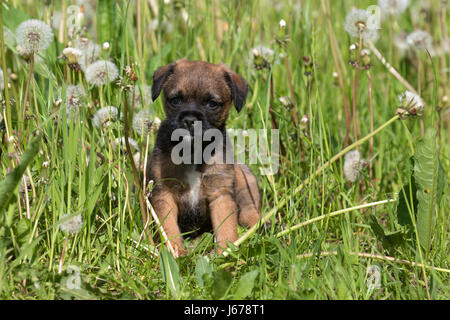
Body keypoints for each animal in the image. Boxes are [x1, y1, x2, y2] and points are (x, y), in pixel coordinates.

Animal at [147, 59, 260, 258]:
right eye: (175, 100)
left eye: (212, 104)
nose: (190, 119)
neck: (193, 151)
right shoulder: (164, 193)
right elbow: (168, 228)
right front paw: (175, 253)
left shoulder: (221, 195)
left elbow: (227, 230)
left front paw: (226, 256)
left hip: (245, 178)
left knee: (250, 212)